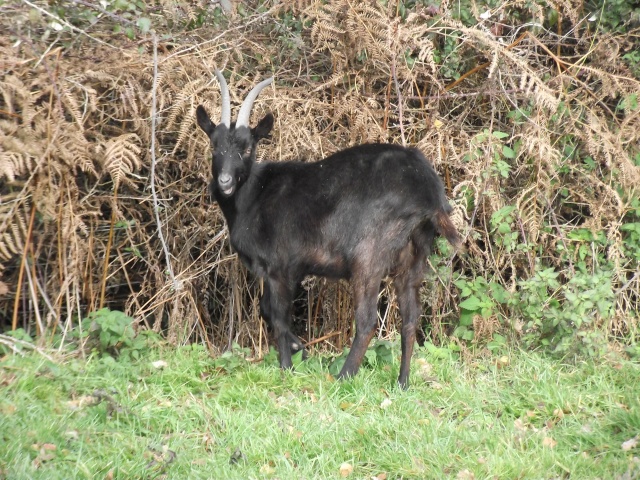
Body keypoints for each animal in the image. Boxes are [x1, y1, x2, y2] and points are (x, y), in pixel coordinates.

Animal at [195, 71, 460, 388]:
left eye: (247, 148)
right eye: (214, 145)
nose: (224, 181)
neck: (253, 196)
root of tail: (429, 190)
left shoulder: (279, 267)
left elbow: (278, 316)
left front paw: (287, 367)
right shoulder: (292, 269)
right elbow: (267, 309)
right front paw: (300, 349)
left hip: (369, 254)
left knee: (367, 319)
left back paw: (344, 376)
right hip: (414, 256)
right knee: (410, 319)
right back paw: (402, 382)